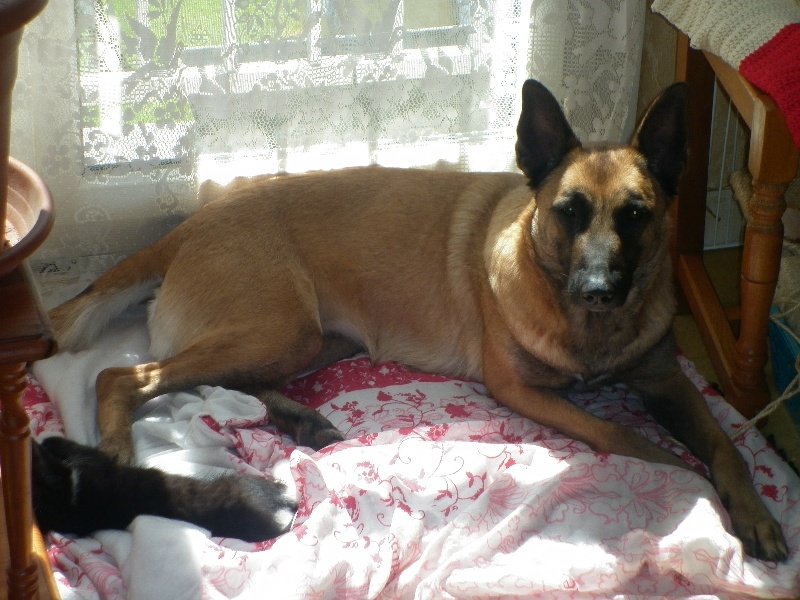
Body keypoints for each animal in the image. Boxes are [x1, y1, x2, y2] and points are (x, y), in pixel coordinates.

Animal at [48, 80, 788, 561]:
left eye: (637, 214)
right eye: (569, 211)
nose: (601, 289)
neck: (592, 332)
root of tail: (186, 227)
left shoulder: (666, 381)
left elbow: (725, 444)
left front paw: (752, 511)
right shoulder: (522, 389)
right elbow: (624, 434)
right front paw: (688, 479)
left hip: (307, 340)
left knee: (228, 382)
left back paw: (301, 419)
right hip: (279, 328)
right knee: (123, 376)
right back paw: (120, 453)